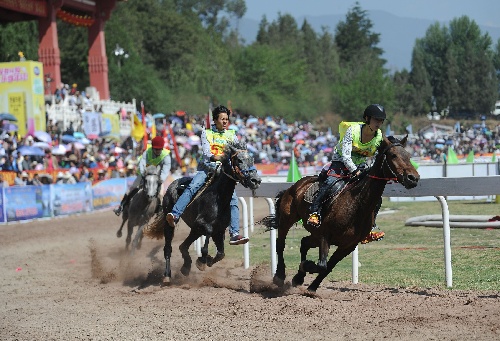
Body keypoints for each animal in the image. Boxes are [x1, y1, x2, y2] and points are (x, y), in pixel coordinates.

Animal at [264, 134, 420, 290]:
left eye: (408, 155)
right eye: (393, 155)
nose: (413, 178)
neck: (356, 203)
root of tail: (296, 185)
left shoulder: (348, 245)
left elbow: (328, 267)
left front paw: (311, 287)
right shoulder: (325, 236)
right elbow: (322, 265)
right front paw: (305, 268)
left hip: (314, 234)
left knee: (304, 242)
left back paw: (299, 277)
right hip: (287, 219)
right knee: (280, 244)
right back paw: (279, 275)